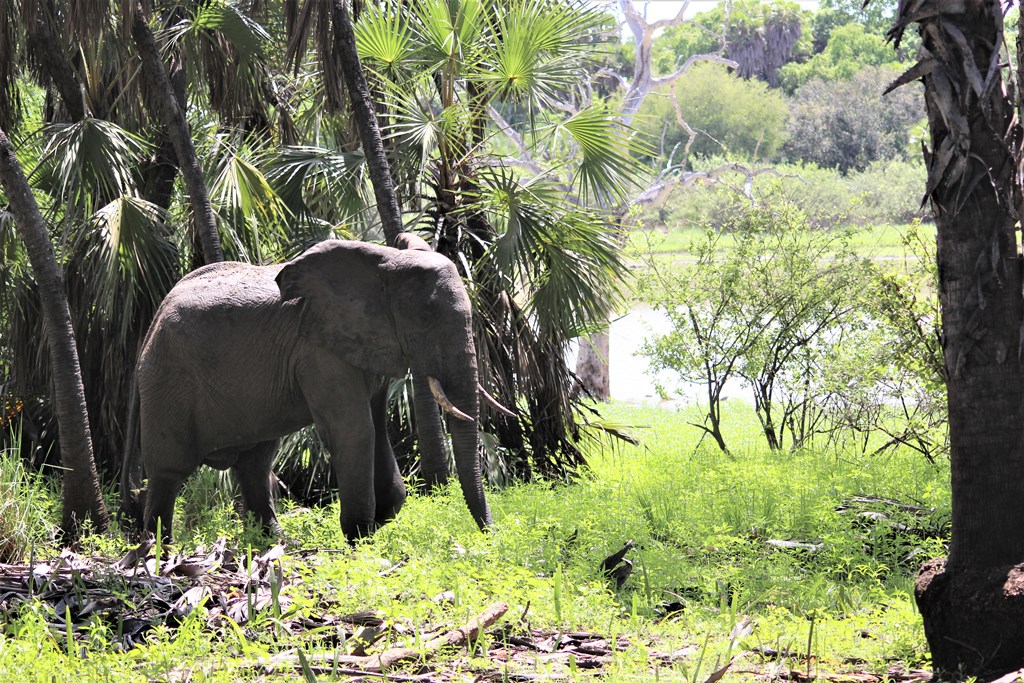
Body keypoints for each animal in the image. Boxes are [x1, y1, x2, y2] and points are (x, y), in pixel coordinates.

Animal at [120, 239, 492, 542]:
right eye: (426, 319)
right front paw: (359, 538)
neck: (385, 261)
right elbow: (354, 431)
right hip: (167, 379)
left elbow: (376, 427)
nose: (488, 537)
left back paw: (276, 544)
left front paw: (380, 519)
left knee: (255, 463)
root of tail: (154, 318)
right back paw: (159, 551)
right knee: (169, 471)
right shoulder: (317, 352)